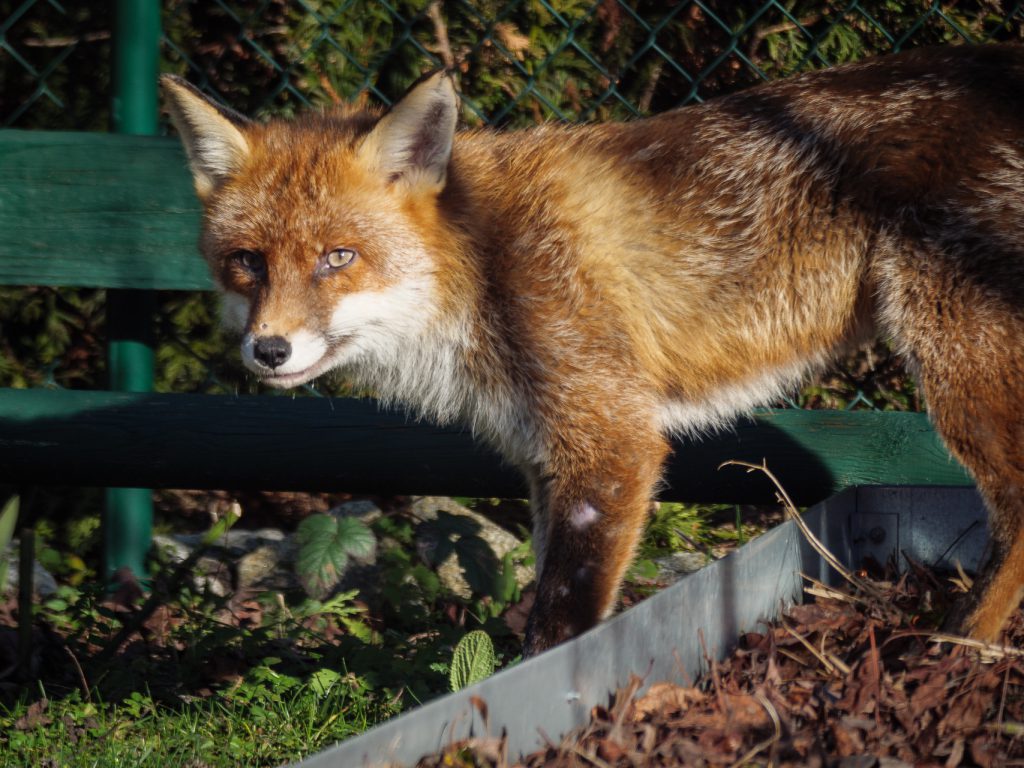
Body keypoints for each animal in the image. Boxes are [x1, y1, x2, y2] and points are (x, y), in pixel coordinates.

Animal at [159, 41, 1024, 655]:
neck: (484, 265)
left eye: (338, 257)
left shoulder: (612, 442)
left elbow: (559, 627)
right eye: (248, 262)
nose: (269, 350)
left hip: (957, 361)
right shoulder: (547, 462)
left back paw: (959, 647)